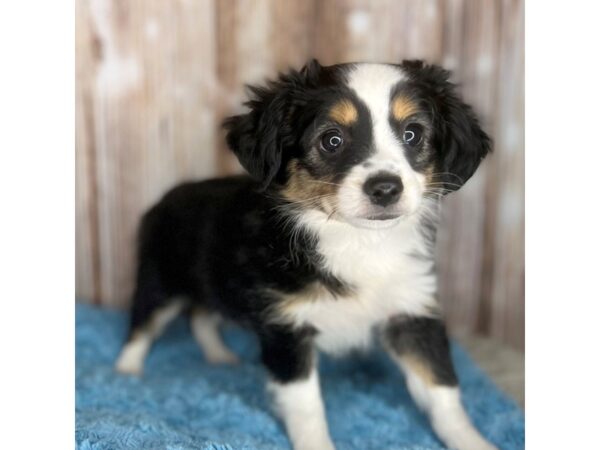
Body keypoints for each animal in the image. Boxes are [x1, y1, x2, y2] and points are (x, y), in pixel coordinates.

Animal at [117, 59, 496, 450]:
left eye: (412, 134)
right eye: (332, 140)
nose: (386, 188)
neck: (358, 240)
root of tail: (168, 195)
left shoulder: (413, 310)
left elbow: (442, 390)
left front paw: (473, 442)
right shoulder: (287, 327)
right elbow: (306, 406)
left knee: (201, 315)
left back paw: (219, 356)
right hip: (159, 278)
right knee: (143, 324)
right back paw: (126, 372)